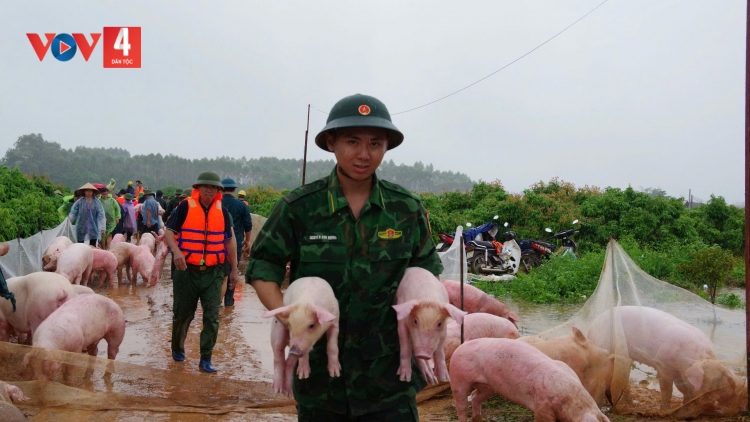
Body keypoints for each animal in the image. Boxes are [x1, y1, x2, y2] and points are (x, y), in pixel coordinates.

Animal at [450, 338, 612, 422]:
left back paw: (478, 417)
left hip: (488, 385)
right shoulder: (542, 406)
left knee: (476, 397)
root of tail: (461, 345)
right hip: (458, 377)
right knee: (461, 404)